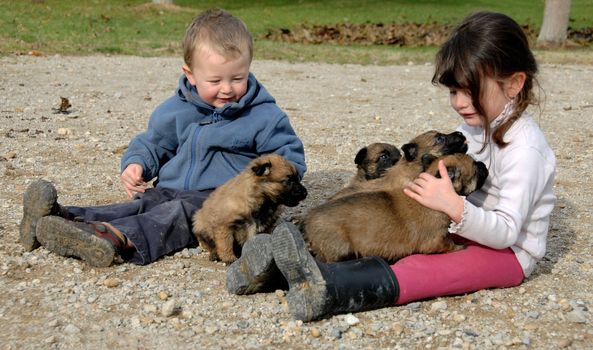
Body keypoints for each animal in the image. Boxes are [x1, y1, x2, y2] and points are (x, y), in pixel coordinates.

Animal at [302, 153, 488, 262]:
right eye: (475, 168)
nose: (483, 165)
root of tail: (307, 222)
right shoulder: (436, 240)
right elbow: (449, 244)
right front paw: (459, 247)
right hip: (340, 247)